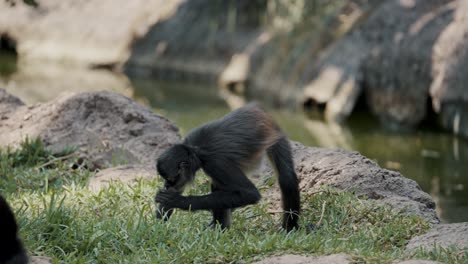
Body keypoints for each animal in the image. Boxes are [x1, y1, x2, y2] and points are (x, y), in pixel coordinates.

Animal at [154, 103, 300, 231]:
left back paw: (289, 229)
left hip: (275, 135)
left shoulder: (216, 162)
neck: (195, 150)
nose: (167, 185)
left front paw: (176, 200)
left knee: (286, 178)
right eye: (166, 180)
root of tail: (256, 108)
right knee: (218, 185)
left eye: (170, 179)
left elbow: (250, 193)